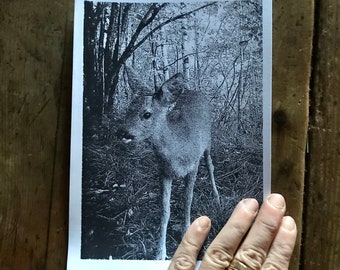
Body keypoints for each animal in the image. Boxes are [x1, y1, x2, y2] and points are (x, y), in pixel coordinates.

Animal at [116, 67, 220, 260]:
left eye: (147, 114)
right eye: (128, 110)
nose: (122, 132)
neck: (176, 152)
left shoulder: (193, 166)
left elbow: (188, 200)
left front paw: (186, 233)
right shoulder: (163, 171)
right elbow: (164, 210)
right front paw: (160, 252)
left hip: (208, 140)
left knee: (210, 165)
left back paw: (217, 197)